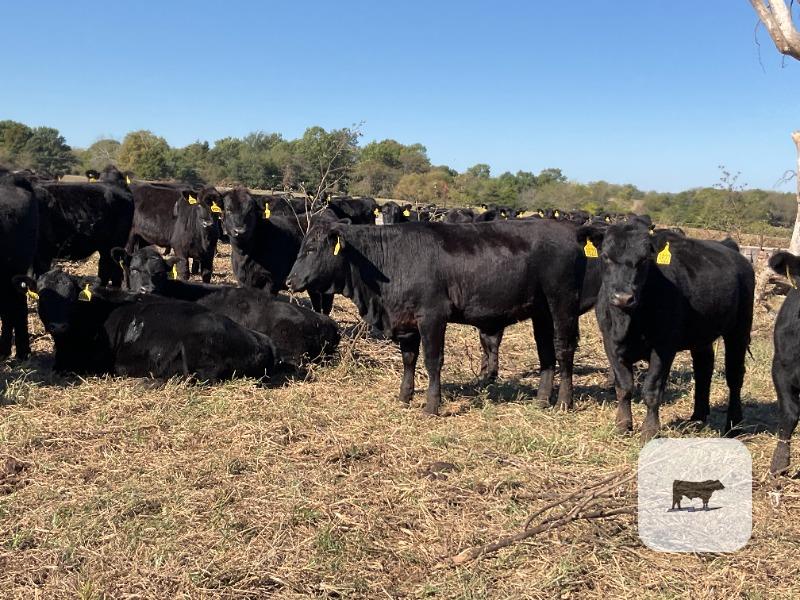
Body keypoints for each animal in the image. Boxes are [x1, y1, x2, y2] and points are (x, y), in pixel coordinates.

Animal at [286, 219, 583, 415]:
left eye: (311, 249)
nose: (290, 280)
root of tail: (570, 232)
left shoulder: (432, 316)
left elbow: (432, 361)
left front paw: (431, 406)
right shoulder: (406, 322)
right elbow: (408, 360)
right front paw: (404, 396)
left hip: (563, 305)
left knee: (564, 350)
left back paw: (563, 402)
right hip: (541, 313)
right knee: (546, 354)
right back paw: (542, 400)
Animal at [578, 221, 754, 441]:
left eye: (644, 259)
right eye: (606, 256)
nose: (623, 297)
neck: (627, 321)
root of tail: (729, 247)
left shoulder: (664, 347)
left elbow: (652, 390)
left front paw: (650, 431)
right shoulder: (610, 343)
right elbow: (624, 386)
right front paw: (623, 425)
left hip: (739, 329)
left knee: (735, 375)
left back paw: (734, 426)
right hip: (701, 335)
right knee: (704, 370)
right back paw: (697, 418)